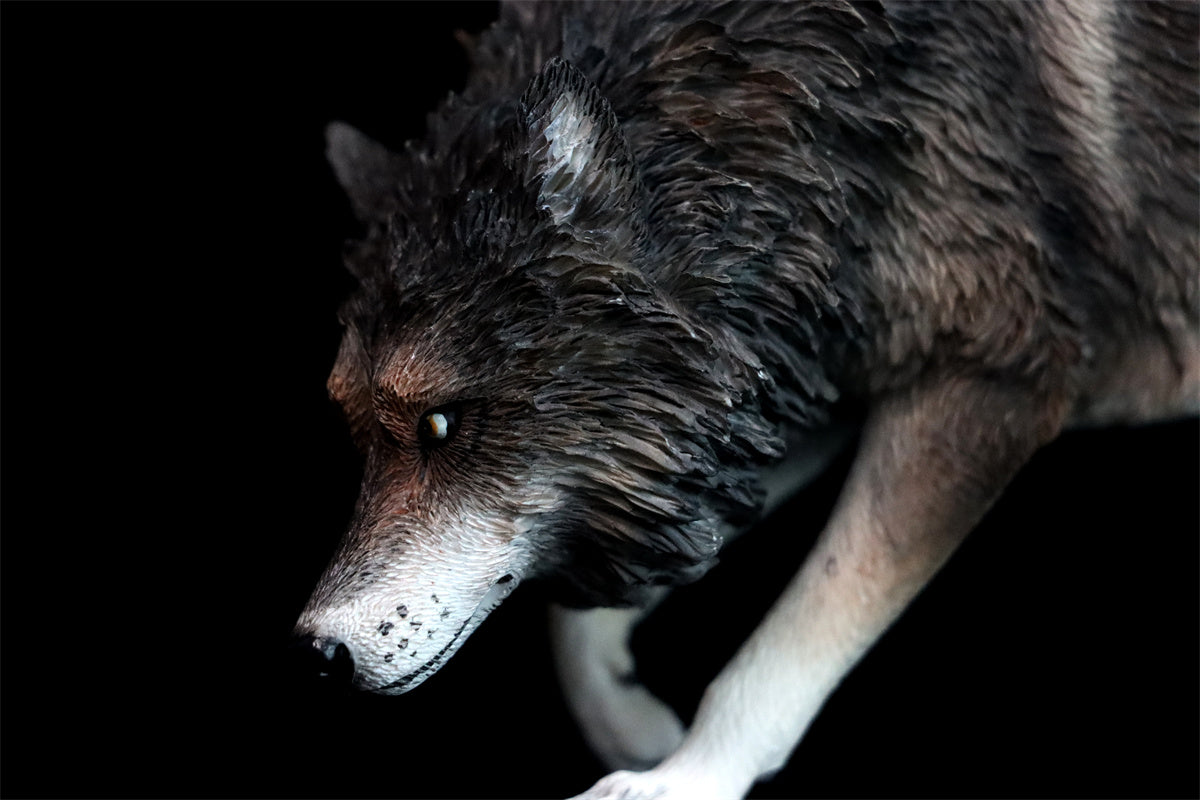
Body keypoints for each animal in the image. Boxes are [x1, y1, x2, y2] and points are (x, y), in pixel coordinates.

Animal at [292, 2, 1198, 797]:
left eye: (439, 424)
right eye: (352, 430)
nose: (317, 651)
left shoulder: (993, 377)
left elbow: (792, 634)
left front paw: (686, 778)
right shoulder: (787, 399)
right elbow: (571, 614)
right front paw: (630, 724)